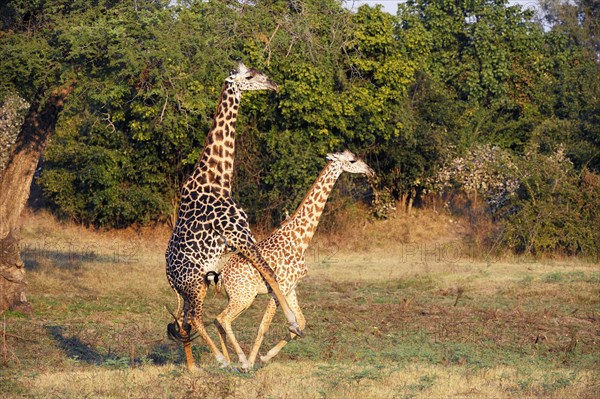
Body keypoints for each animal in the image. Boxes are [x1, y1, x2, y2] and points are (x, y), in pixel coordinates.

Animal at [164, 60, 302, 372]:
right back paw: (221, 360)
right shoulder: (240, 233)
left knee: (184, 321)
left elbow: (267, 272)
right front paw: (292, 323)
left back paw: (194, 368)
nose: (272, 84)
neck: (218, 180)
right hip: (194, 283)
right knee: (193, 318)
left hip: (193, 286)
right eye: (249, 76)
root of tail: (169, 275)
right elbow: (270, 271)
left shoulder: (237, 240)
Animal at [211, 151, 370, 372]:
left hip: (235, 297)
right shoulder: (280, 288)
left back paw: (227, 362)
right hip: (244, 297)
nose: (369, 170)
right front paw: (252, 362)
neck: (301, 239)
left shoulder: (291, 288)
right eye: (352, 160)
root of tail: (222, 275)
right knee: (222, 318)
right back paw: (241, 362)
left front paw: (265, 357)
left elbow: (300, 324)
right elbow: (263, 327)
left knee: (218, 320)